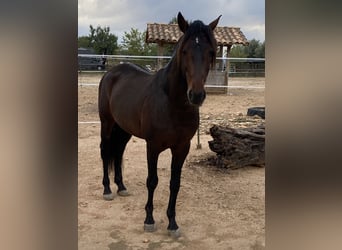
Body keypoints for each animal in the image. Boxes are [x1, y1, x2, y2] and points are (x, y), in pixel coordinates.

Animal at [97, 12, 220, 236]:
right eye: (184, 51)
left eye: (210, 52)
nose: (196, 95)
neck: (172, 103)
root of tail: (112, 72)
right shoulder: (152, 146)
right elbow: (152, 181)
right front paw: (149, 220)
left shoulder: (182, 147)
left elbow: (175, 183)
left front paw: (172, 223)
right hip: (107, 124)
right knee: (105, 151)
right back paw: (108, 189)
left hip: (124, 129)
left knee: (118, 152)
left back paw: (121, 187)